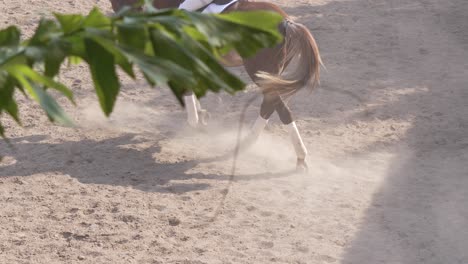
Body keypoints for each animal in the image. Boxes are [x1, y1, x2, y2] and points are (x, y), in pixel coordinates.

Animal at [109, 0, 322, 171]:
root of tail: (285, 22)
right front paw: (201, 114)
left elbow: (186, 87)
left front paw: (194, 121)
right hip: (269, 75)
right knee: (270, 105)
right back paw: (248, 144)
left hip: (260, 72)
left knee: (280, 108)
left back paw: (297, 157)